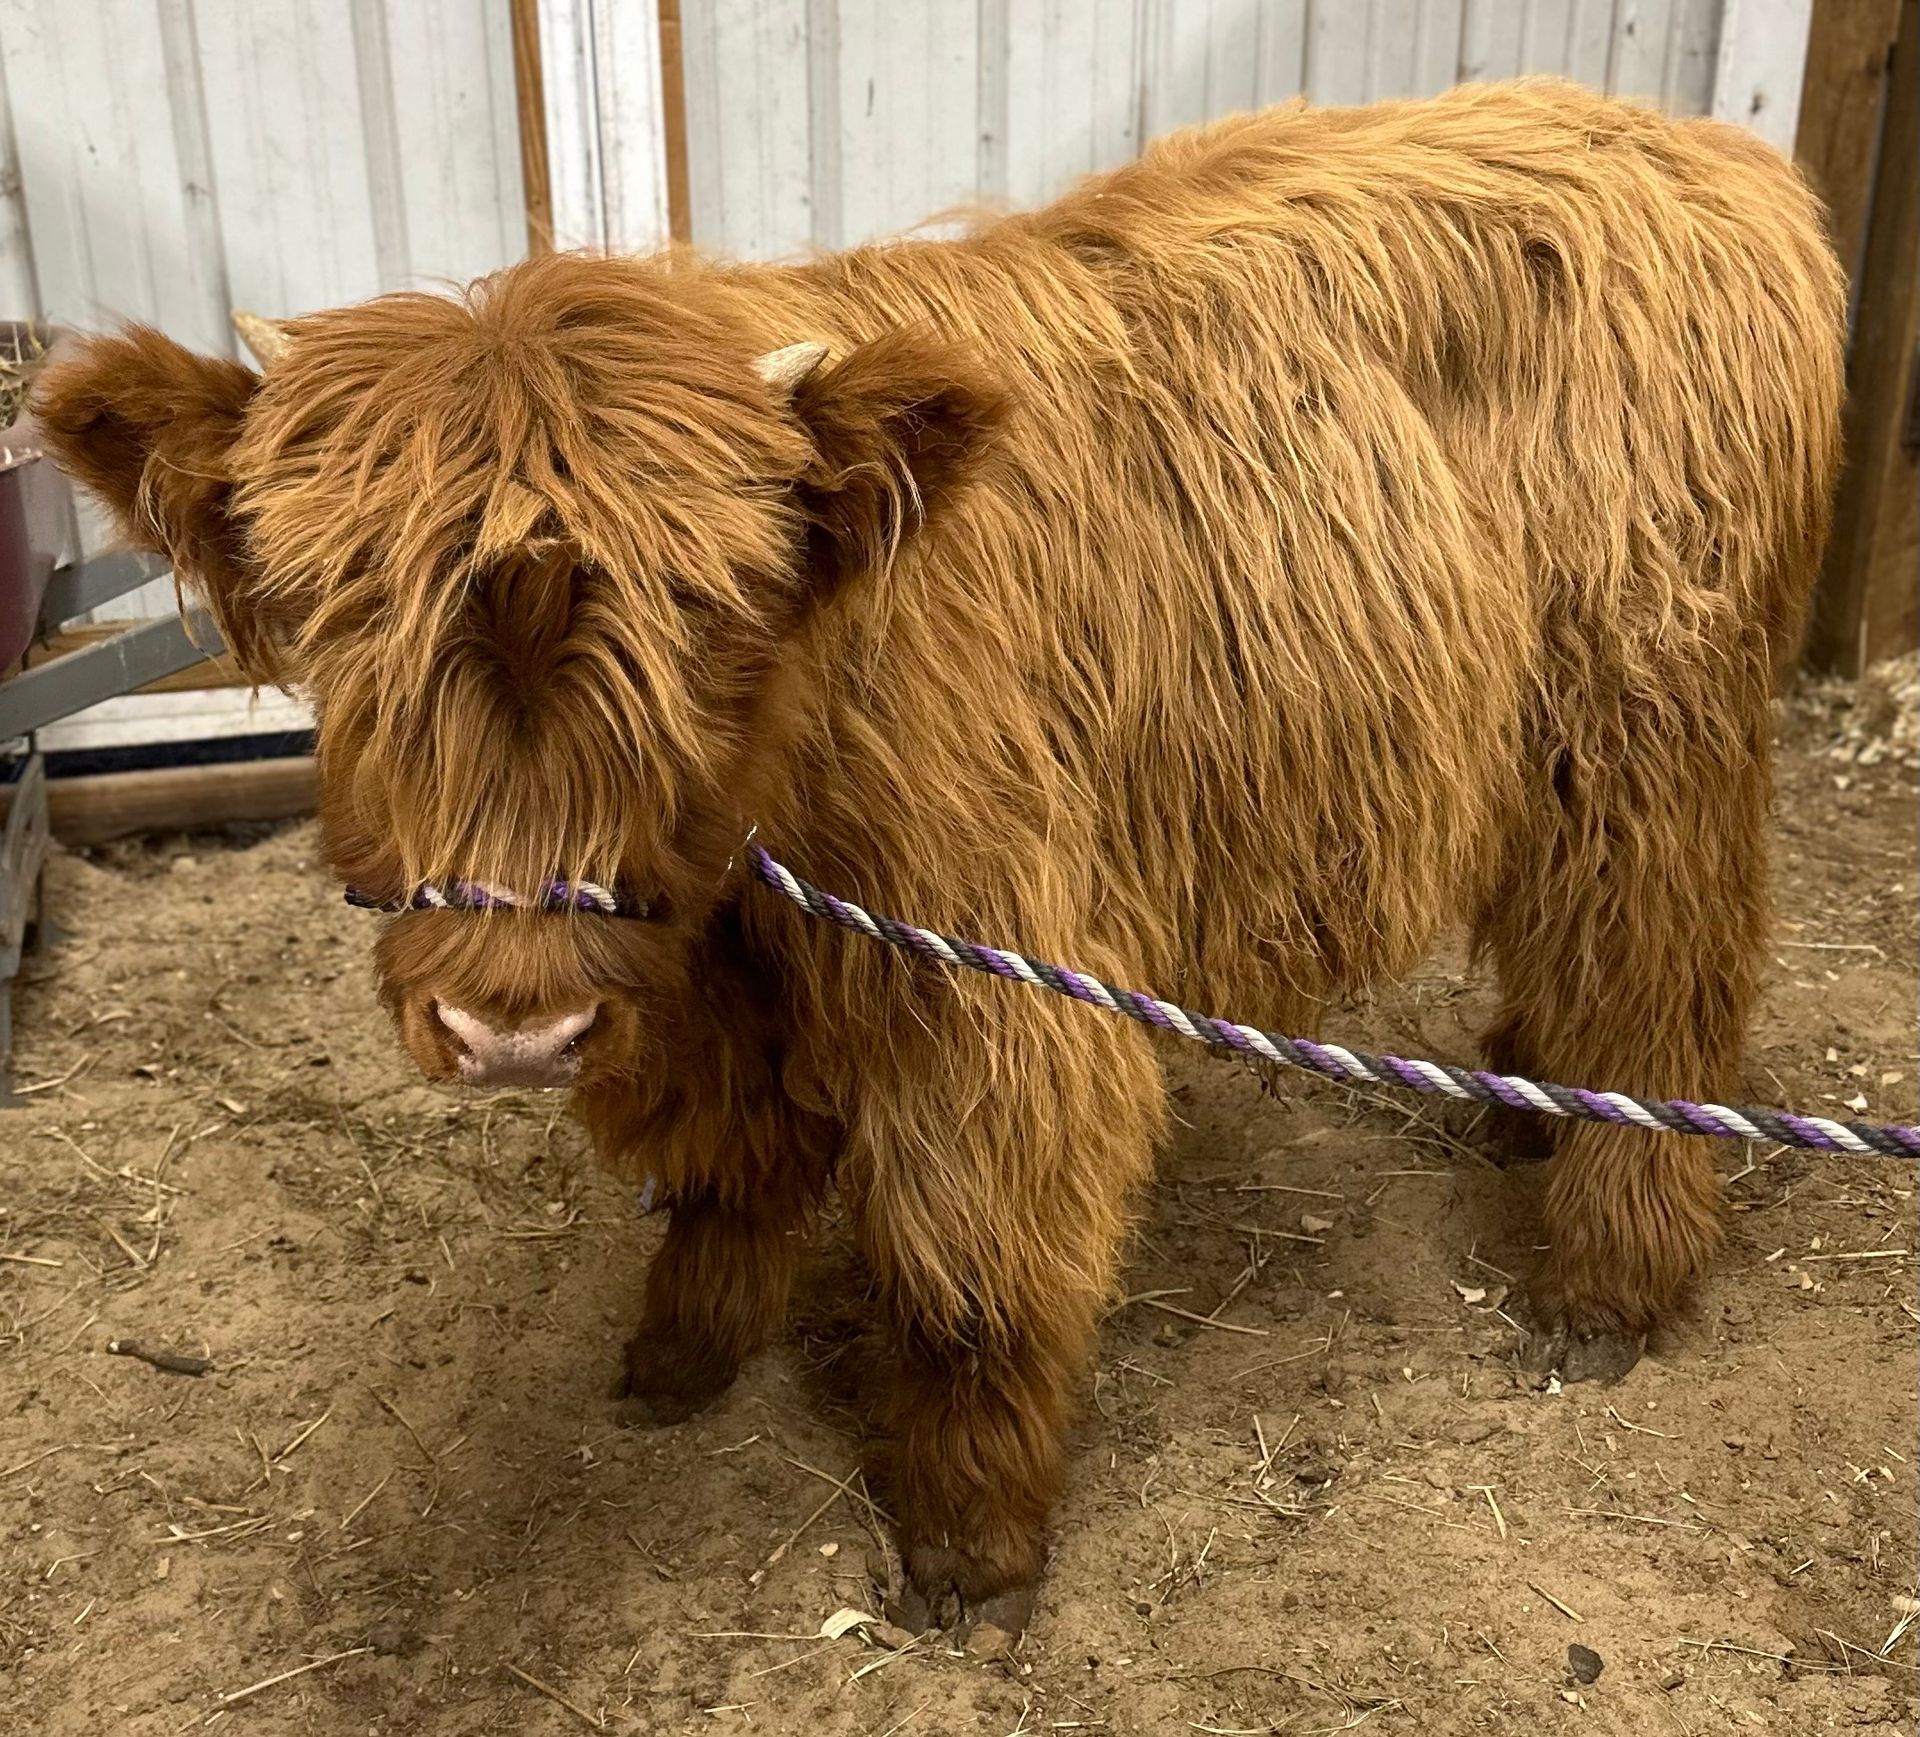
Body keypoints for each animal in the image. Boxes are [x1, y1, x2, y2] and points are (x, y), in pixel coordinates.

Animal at [33, 79, 1844, 1641]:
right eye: (340, 621)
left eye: (713, 617)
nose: (513, 1022)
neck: (751, 871)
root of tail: (1698, 148)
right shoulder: (707, 988)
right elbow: (723, 1166)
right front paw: (678, 1351)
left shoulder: (988, 981)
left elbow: (968, 1267)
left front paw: (969, 1546)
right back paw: (1533, 1095)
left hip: (1650, 724)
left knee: (1665, 965)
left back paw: (1607, 1279)